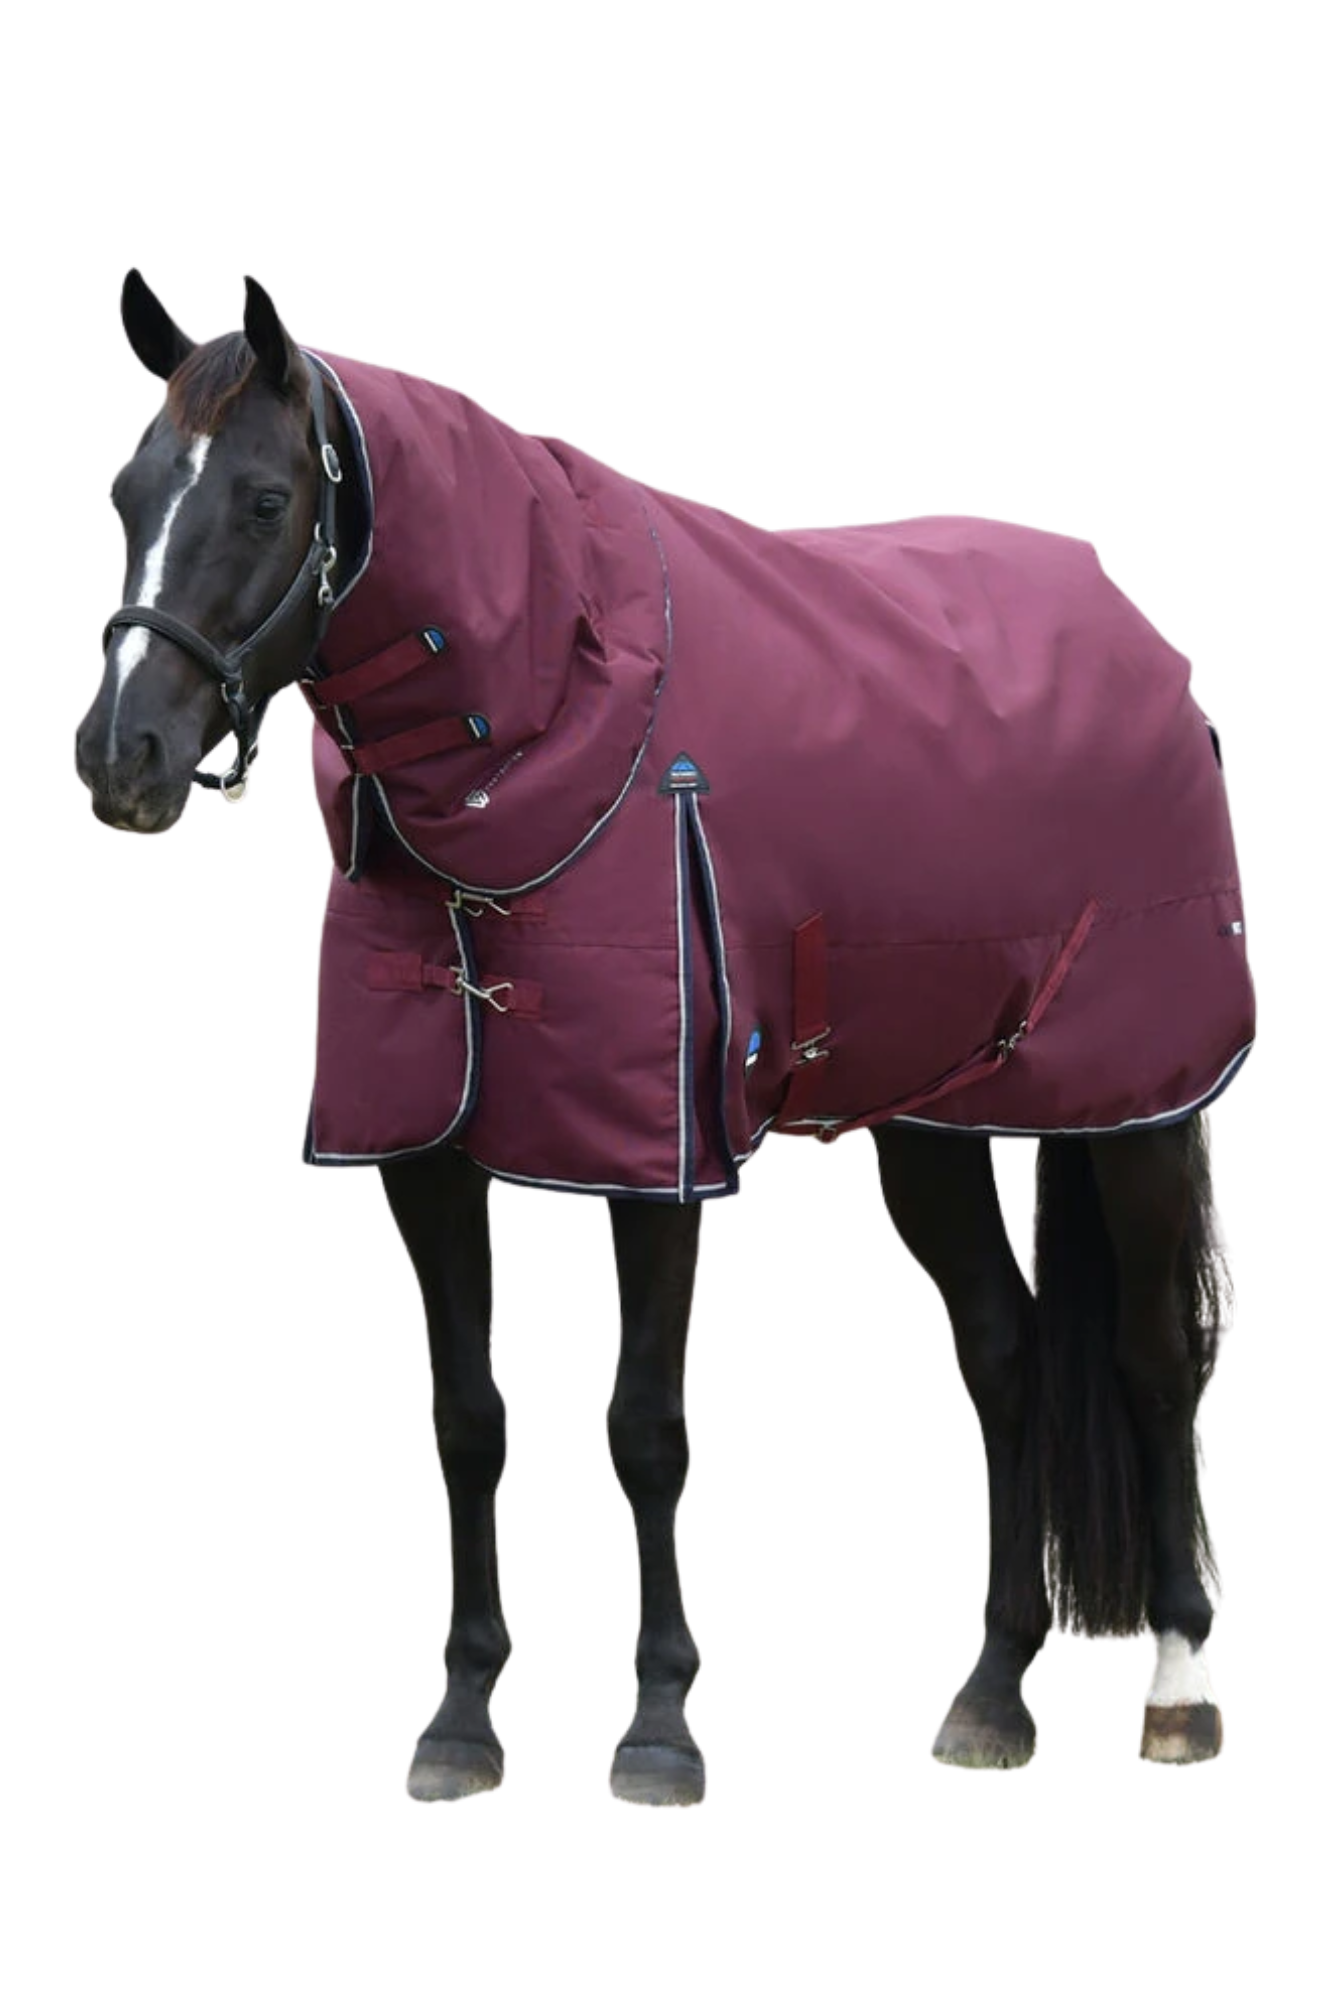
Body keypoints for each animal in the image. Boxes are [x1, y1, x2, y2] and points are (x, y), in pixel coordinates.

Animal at [76, 270, 1247, 1804]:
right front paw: (461, 1719)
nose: (121, 760)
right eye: (126, 490)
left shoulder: (658, 1151)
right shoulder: (426, 1153)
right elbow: (470, 1415)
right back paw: (990, 1697)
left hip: (1137, 1107)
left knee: (1154, 1358)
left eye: (268, 498)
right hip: (935, 1119)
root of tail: (1137, 636)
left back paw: (1180, 1681)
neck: (551, 722)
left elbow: (643, 1423)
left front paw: (657, 1726)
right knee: (1006, 1360)